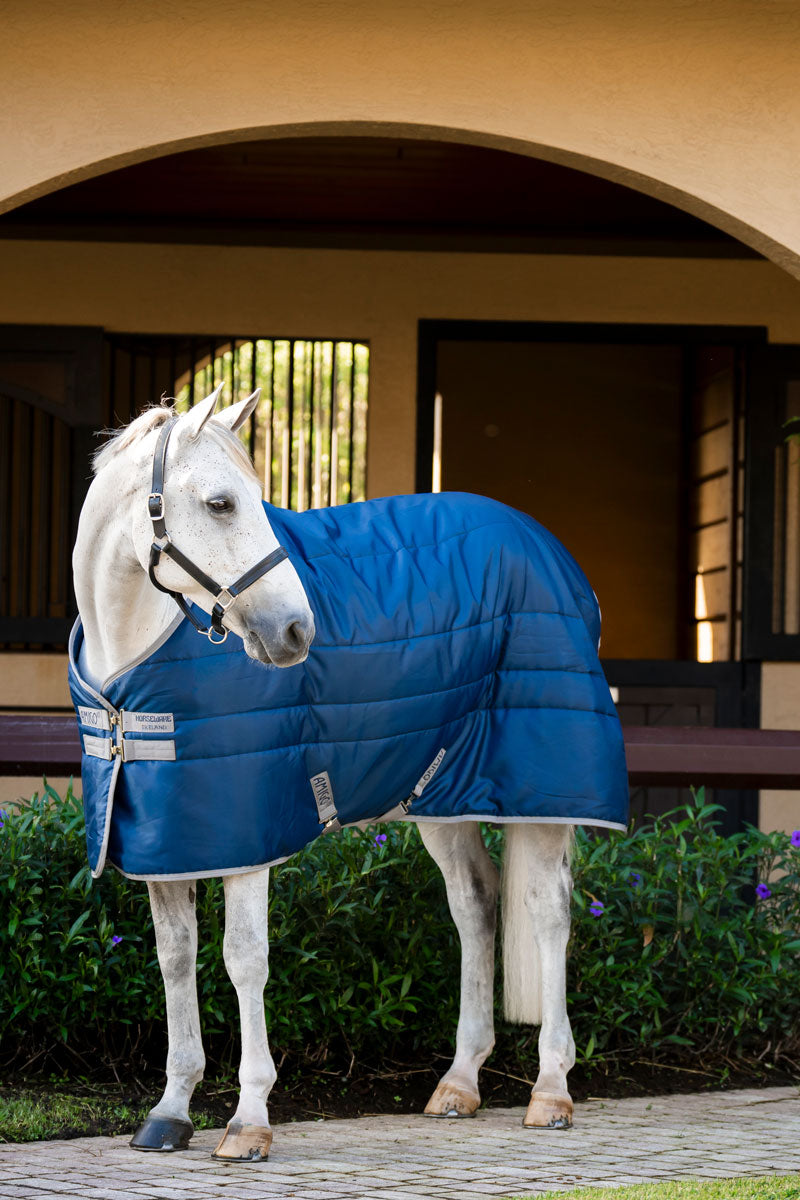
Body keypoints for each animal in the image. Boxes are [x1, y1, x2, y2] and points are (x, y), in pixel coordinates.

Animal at [70, 385, 627, 1162]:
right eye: (219, 503)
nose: (296, 632)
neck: (132, 669)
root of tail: (549, 551)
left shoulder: (249, 837)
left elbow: (244, 959)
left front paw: (248, 1121)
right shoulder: (168, 840)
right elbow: (175, 960)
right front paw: (170, 1111)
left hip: (540, 792)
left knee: (549, 912)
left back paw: (551, 1090)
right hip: (440, 796)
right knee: (476, 904)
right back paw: (459, 1083)